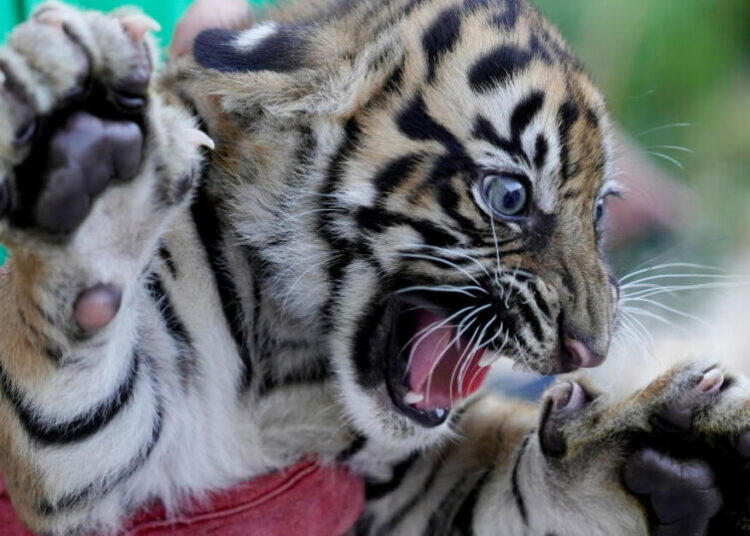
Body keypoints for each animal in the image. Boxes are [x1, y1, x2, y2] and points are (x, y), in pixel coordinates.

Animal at [1, 0, 749, 534]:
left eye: (598, 211)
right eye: (508, 196)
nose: (590, 349)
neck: (285, 367)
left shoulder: (405, 491)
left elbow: (520, 493)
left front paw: (668, 453)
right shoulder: (85, 450)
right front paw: (86, 132)